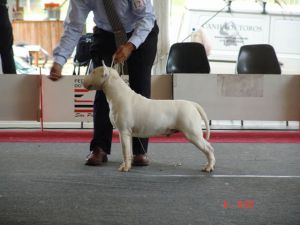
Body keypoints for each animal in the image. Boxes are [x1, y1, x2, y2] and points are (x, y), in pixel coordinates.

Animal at [84, 62, 216, 173]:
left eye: (93, 72)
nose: (83, 80)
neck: (117, 94)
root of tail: (192, 104)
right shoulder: (128, 133)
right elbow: (128, 151)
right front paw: (127, 165)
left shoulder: (124, 131)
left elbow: (125, 151)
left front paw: (125, 168)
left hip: (192, 133)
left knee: (209, 148)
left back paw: (209, 167)